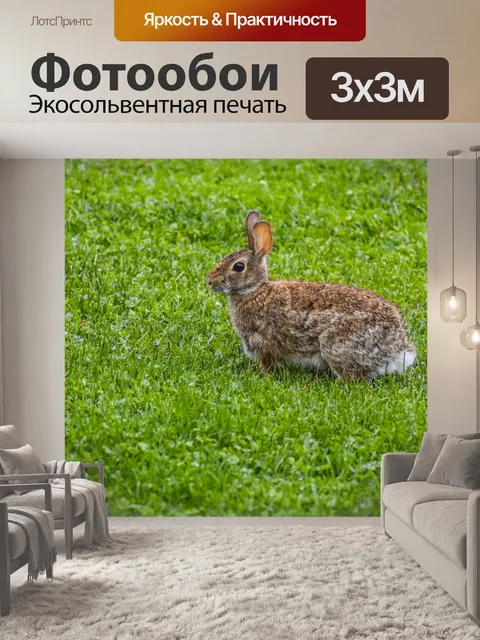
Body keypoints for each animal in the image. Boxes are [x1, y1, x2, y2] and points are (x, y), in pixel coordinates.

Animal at [206, 211, 416, 380]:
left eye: (238, 266)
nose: (209, 281)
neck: (255, 290)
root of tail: (398, 352)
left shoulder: (264, 343)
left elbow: (268, 362)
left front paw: (262, 373)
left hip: (336, 346)